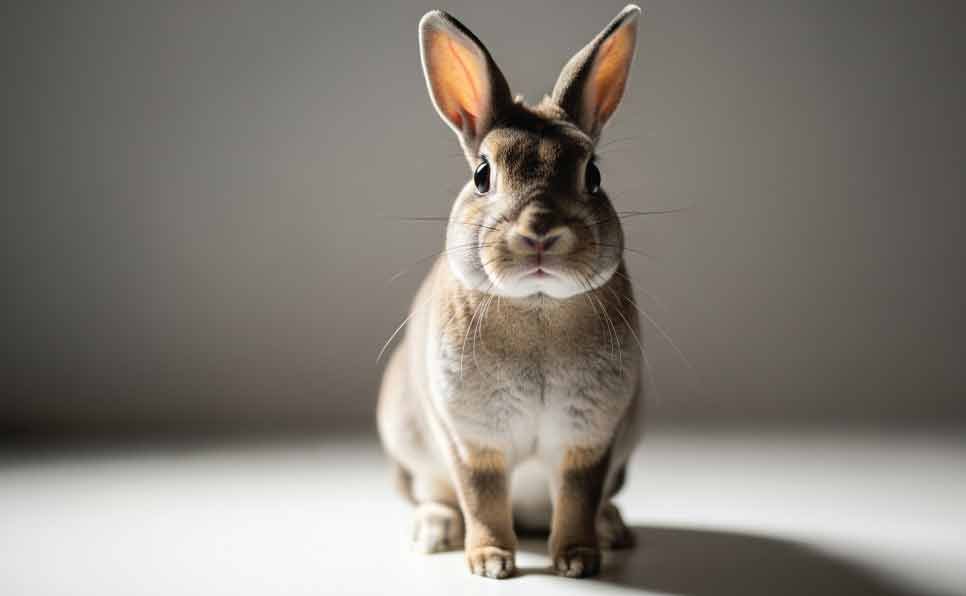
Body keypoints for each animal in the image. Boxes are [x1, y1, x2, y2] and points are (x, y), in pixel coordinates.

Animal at [377, 4, 645, 579]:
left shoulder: (588, 440)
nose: (540, 231)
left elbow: (577, 497)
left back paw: (613, 529)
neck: (537, 307)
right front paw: (491, 562)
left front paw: (578, 560)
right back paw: (434, 532)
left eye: (593, 174)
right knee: (435, 495)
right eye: (482, 174)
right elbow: (481, 497)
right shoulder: (472, 441)